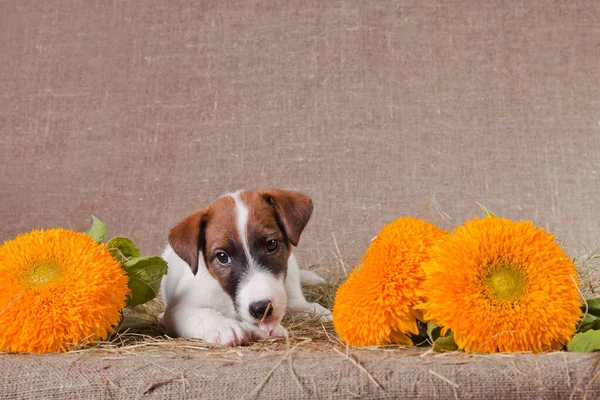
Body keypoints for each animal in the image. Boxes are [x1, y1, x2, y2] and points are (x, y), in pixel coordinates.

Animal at [161, 189, 332, 346]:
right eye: (222, 256)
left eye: (271, 244)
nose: (261, 308)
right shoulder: (177, 310)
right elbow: (202, 314)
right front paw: (224, 326)